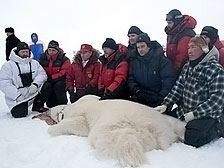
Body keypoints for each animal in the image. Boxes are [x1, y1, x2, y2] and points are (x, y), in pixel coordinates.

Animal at [47, 94, 186, 167]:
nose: (47, 110)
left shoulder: (82, 107)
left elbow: (76, 121)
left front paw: (51, 129)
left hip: (115, 122)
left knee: (116, 138)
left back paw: (131, 161)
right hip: (164, 122)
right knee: (178, 125)